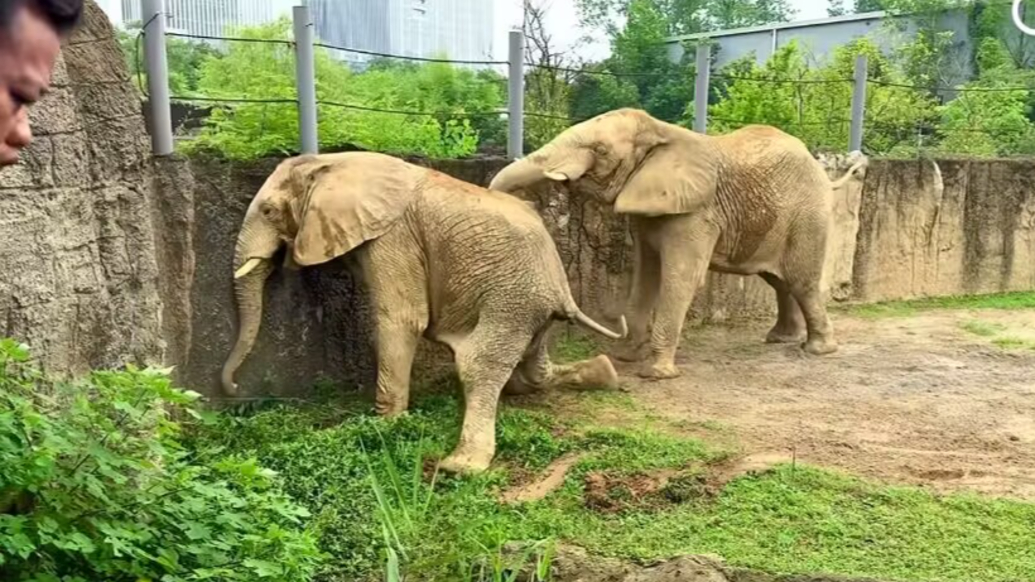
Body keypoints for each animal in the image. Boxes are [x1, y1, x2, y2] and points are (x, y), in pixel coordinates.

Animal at [220, 151, 627, 474]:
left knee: (478, 366)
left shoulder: (395, 237)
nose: (235, 388)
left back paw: (461, 465)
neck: (331, 162)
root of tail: (563, 291)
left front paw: (385, 424)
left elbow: (401, 318)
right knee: (533, 368)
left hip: (512, 298)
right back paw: (602, 372)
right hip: (530, 307)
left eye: (269, 211)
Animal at [489, 108, 868, 380]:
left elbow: (680, 278)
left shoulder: (696, 212)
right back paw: (780, 339)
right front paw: (626, 357)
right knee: (779, 281)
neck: (661, 131)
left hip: (809, 216)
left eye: (600, 150)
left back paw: (817, 351)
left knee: (802, 281)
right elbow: (645, 275)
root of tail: (825, 175)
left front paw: (655, 374)